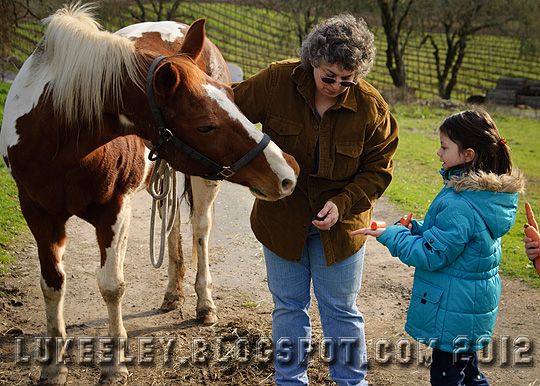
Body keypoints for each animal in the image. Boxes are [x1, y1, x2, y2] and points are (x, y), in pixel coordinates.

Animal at [0, 4, 300, 384]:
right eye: (205, 125)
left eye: (231, 98)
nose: (288, 173)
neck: (56, 136)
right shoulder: (38, 213)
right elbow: (52, 284)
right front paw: (53, 366)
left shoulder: (114, 210)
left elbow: (112, 285)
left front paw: (115, 363)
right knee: (171, 227)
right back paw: (173, 293)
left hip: (203, 181)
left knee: (199, 231)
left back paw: (204, 303)